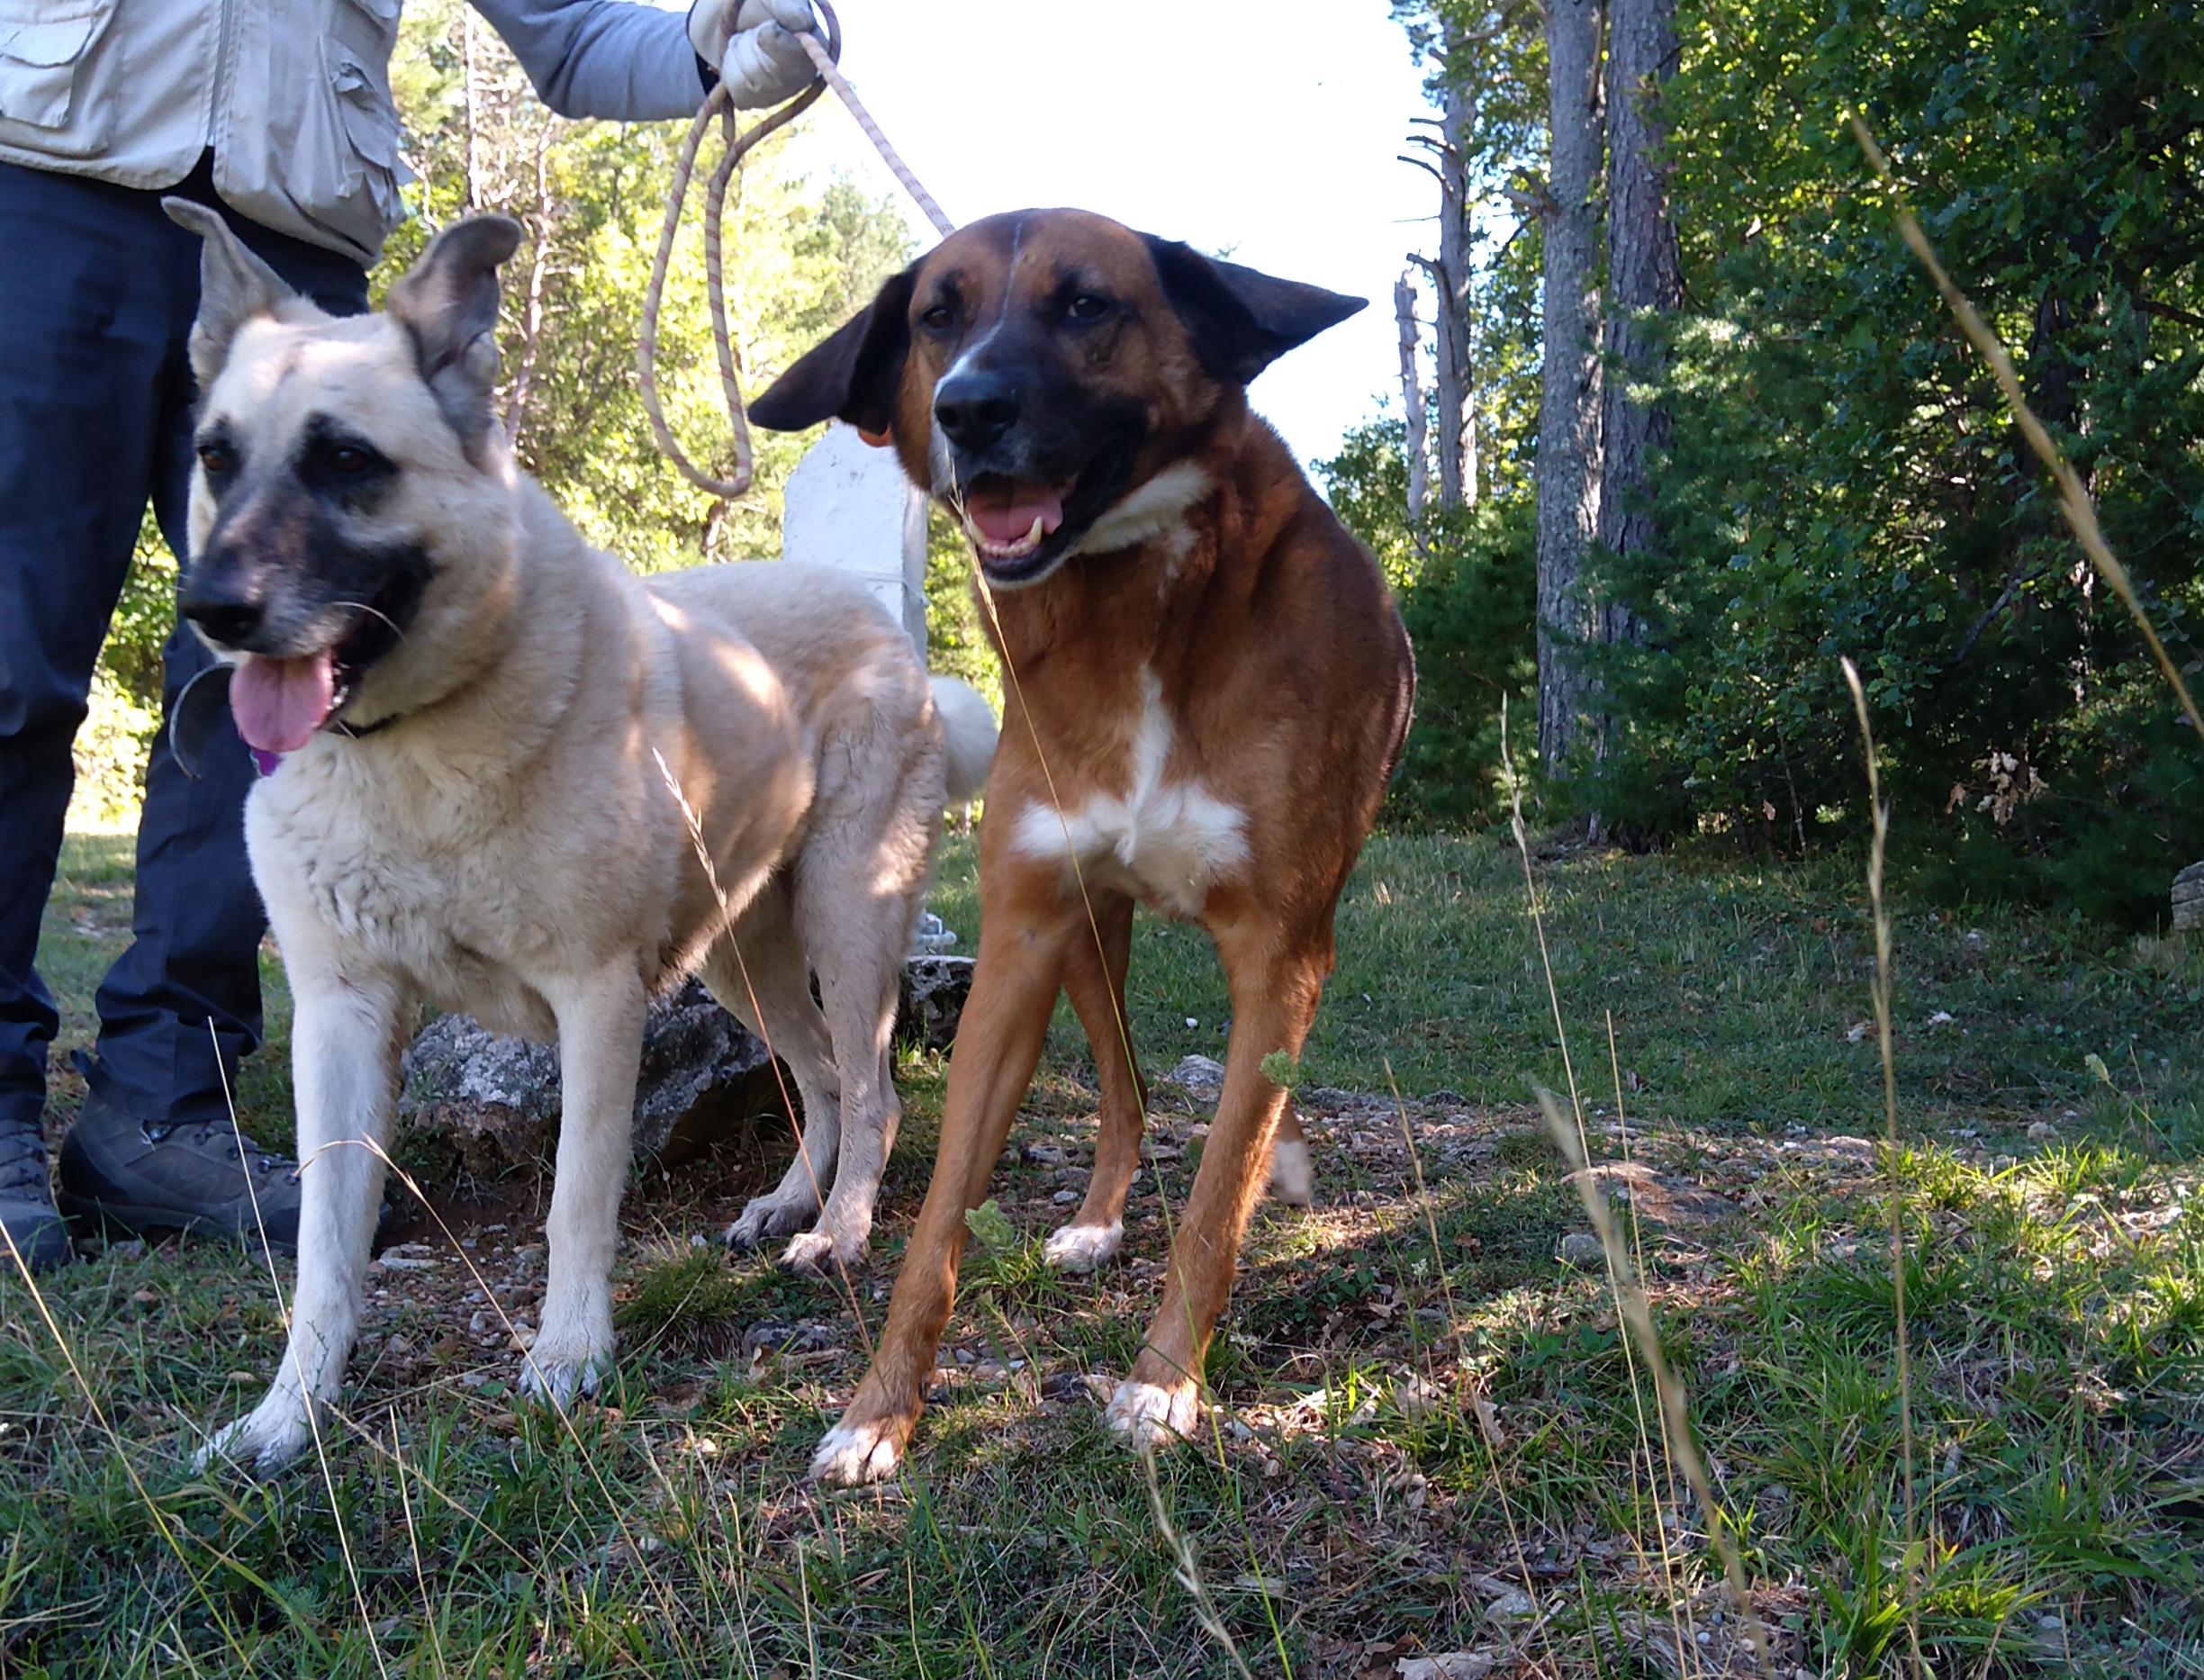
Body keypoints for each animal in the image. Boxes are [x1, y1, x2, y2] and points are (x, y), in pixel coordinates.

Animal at [751, 208, 1416, 1484]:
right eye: (937, 315)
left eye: (1087, 305)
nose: (967, 408)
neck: (1129, 616)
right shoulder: (1021, 938)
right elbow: (939, 1221)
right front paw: (877, 1412)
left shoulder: (1282, 948)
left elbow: (1217, 1193)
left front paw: (1163, 1387)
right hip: (1090, 944)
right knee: (1127, 1086)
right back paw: (1103, 1217)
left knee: (1232, 1096)